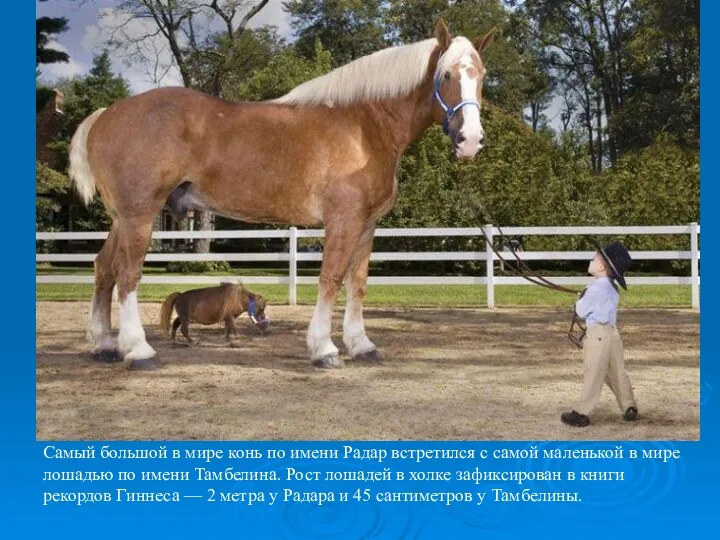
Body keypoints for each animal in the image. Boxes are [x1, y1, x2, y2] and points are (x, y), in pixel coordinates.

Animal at [69, 19, 496, 370]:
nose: (470, 141)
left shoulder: (367, 225)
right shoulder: (343, 221)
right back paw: (138, 351)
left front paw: (361, 345)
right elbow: (331, 278)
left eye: (482, 76)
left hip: (121, 219)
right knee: (127, 274)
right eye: (446, 75)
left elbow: (357, 283)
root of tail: (106, 114)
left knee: (103, 269)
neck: (363, 126)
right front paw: (324, 349)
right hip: (140, 215)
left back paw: (104, 346)